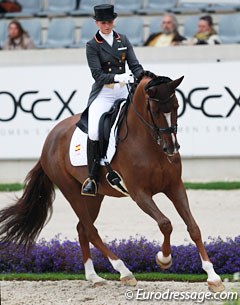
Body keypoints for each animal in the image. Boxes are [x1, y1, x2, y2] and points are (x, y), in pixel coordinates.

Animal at [0, 70, 225, 290]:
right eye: (155, 110)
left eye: (177, 106)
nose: (171, 149)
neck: (149, 143)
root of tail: (50, 138)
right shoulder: (139, 194)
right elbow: (165, 223)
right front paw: (164, 259)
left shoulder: (175, 186)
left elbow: (193, 228)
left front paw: (213, 277)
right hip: (70, 191)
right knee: (91, 230)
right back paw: (124, 271)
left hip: (94, 196)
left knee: (82, 228)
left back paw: (94, 277)